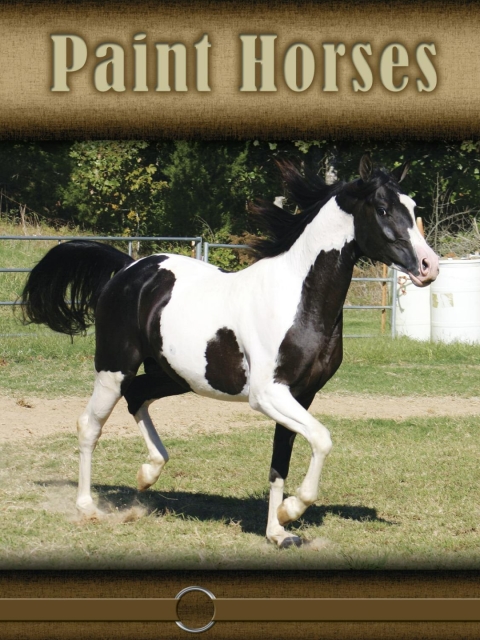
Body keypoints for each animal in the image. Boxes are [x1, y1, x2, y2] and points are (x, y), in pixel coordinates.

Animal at [20, 156, 439, 548]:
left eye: (412, 206)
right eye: (382, 208)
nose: (429, 267)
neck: (299, 299)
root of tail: (129, 268)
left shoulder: (301, 394)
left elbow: (279, 464)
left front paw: (277, 533)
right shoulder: (267, 395)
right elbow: (322, 439)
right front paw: (291, 511)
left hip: (174, 376)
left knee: (136, 397)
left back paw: (148, 473)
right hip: (114, 367)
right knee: (90, 424)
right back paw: (87, 507)